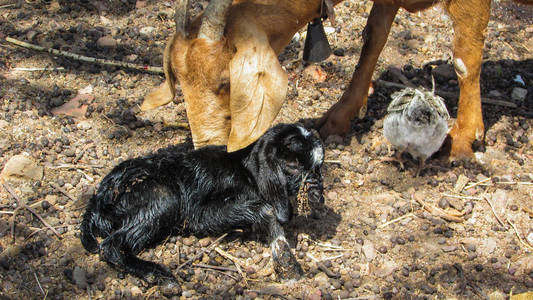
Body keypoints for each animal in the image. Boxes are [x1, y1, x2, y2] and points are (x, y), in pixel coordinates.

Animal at [142, 0, 532, 158]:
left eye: (226, 82)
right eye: (179, 82)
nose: (205, 146)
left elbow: (466, 56)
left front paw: (465, 138)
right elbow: (373, 37)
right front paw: (337, 118)